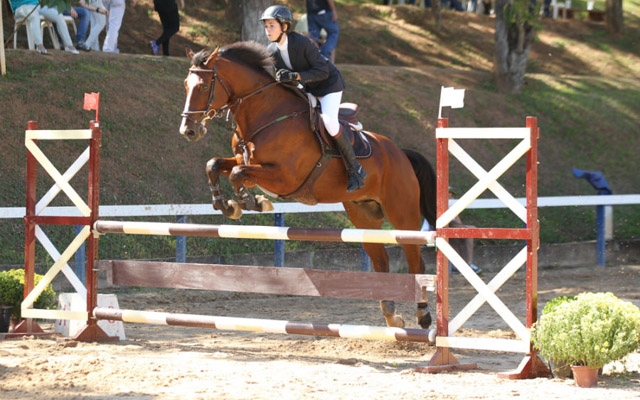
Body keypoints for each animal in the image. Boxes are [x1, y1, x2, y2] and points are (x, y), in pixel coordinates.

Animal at [180, 41, 440, 332]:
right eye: (186, 85)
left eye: (204, 86)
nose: (188, 131)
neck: (266, 115)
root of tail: (400, 153)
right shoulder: (244, 161)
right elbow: (214, 165)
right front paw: (227, 205)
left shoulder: (284, 177)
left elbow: (237, 174)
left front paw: (249, 201)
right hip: (364, 217)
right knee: (381, 261)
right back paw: (392, 315)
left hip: (402, 214)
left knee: (415, 260)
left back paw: (423, 315)